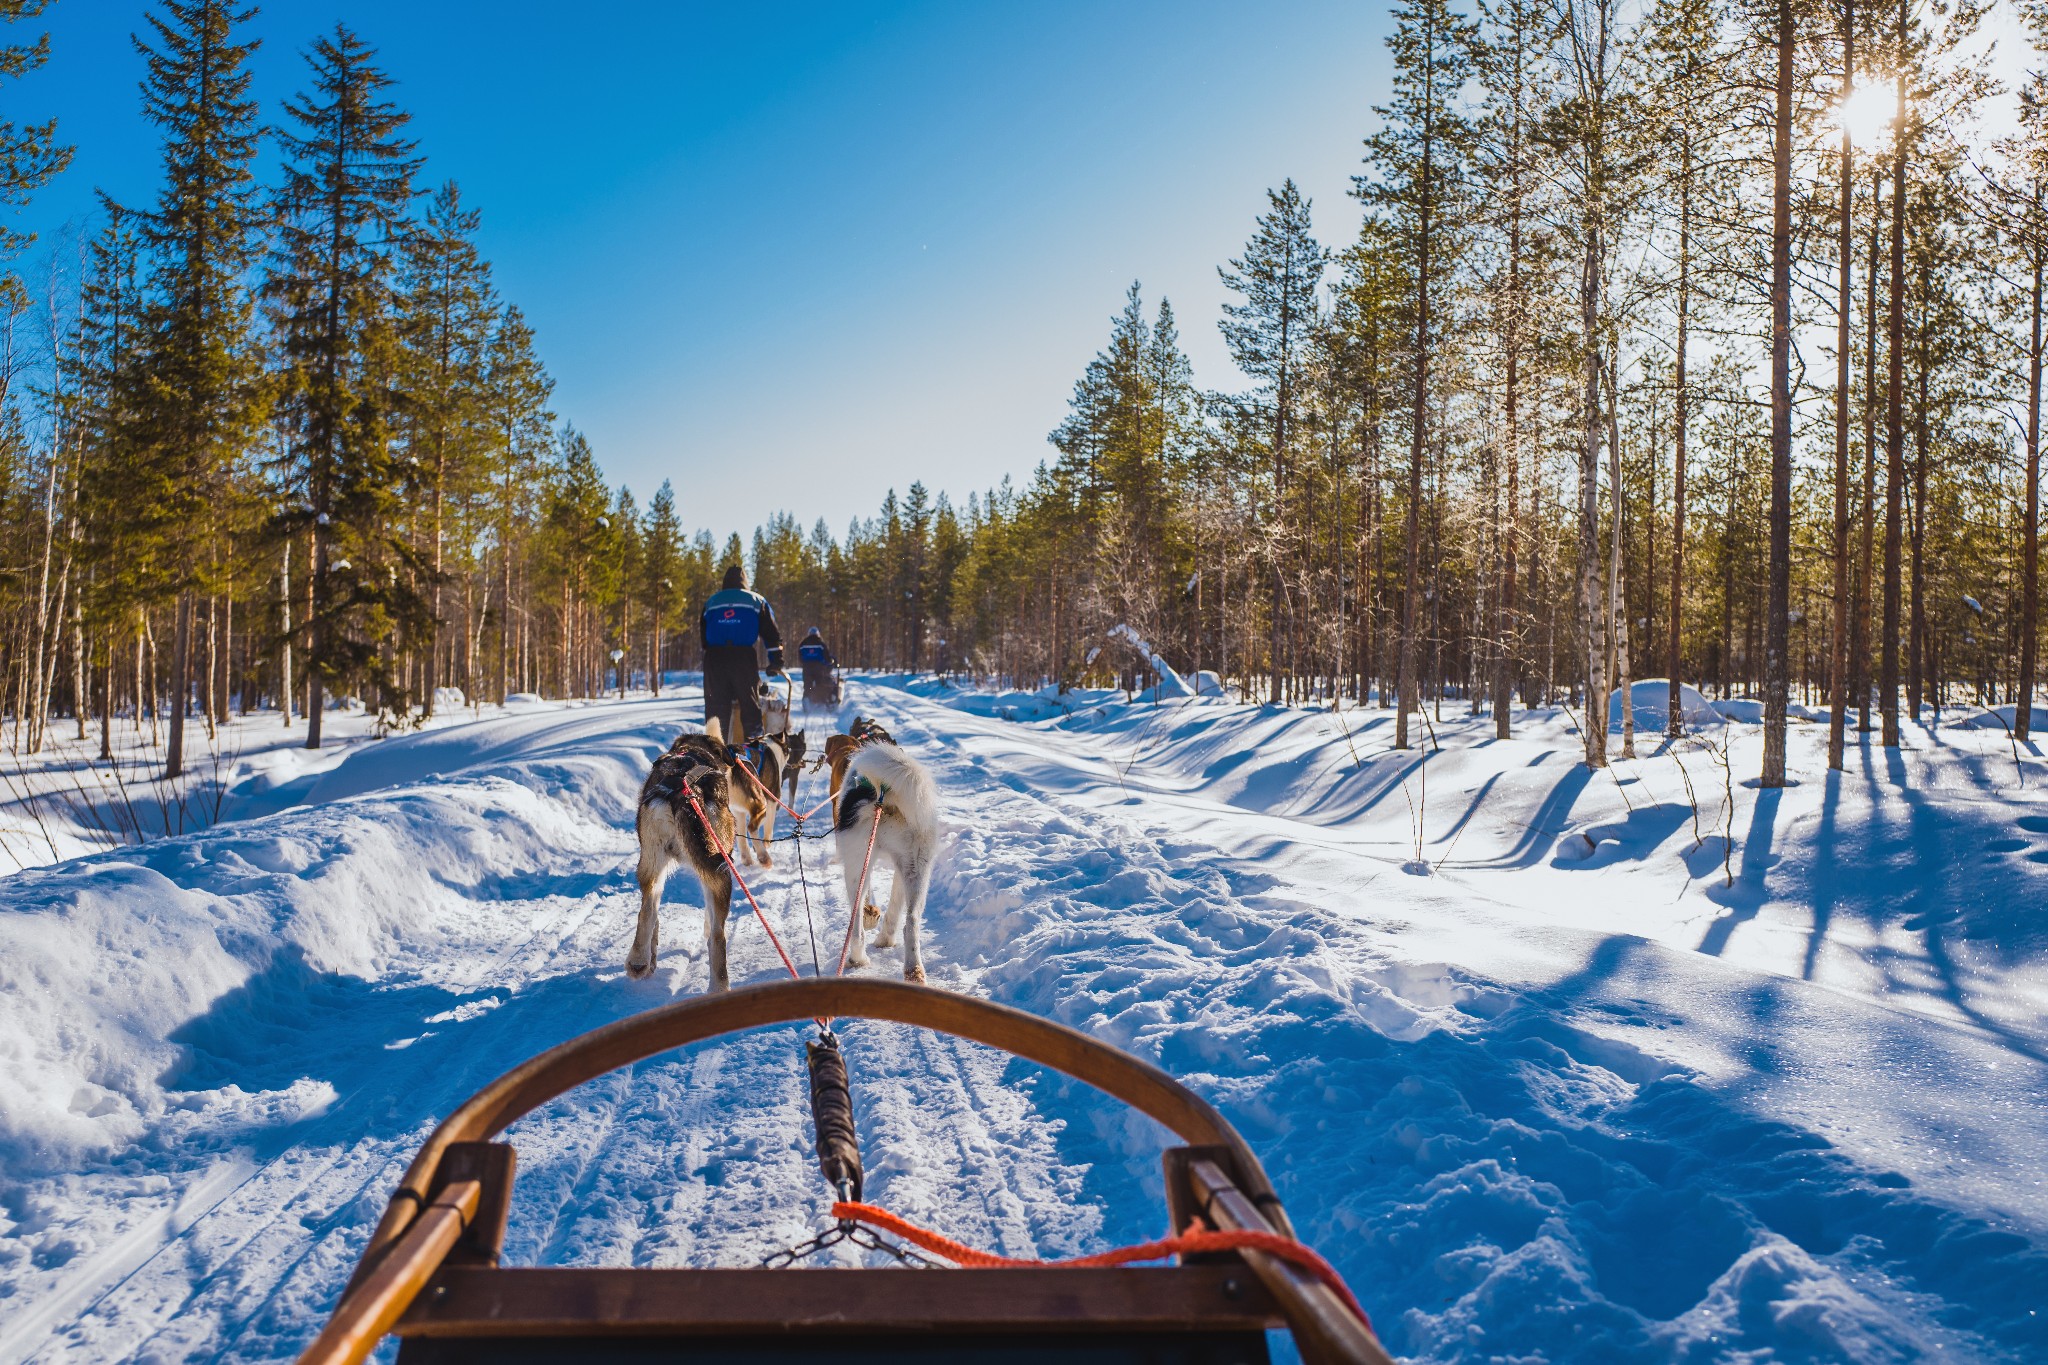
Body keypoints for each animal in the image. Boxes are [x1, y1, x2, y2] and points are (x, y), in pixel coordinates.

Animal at [634, 732, 749, 986]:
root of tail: (683, 791)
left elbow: (654, 917)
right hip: (722, 869)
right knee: (717, 936)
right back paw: (719, 987)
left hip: (650, 862)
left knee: (647, 909)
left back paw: (638, 961)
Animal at [831, 740, 942, 986]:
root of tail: (884, 797)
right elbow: (895, 906)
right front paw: (886, 939)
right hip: (918, 869)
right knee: (911, 922)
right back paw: (913, 972)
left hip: (857, 867)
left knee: (856, 927)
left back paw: (857, 959)